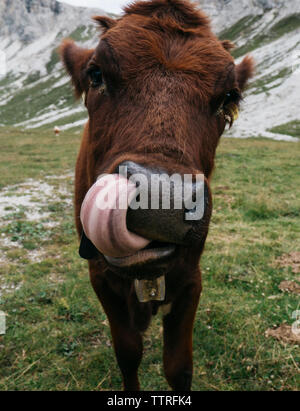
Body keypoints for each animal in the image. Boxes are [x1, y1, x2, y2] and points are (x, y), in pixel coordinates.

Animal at [60, 0, 253, 392]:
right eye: (96, 74)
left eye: (229, 97)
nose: (160, 198)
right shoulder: (100, 277)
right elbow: (128, 352)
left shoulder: (191, 276)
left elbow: (179, 366)